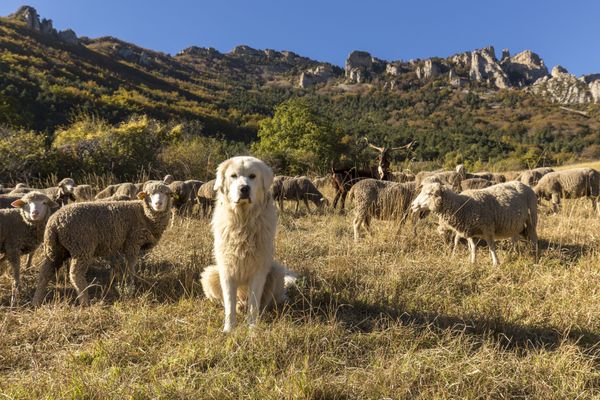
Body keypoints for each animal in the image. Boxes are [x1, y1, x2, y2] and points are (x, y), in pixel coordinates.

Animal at [32, 182, 173, 306]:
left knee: (45, 272)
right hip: (81, 246)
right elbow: (131, 266)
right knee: (75, 274)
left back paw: (37, 300)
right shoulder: (132, 242)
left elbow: (118, 265)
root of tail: (54, 222)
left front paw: (119, 280)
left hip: (55, 249)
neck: (143, 214)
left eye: (166, 193)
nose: (158, 204)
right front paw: (130, 285)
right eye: (149, 194)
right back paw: (85, 301)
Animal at [202, 155, 296, 332]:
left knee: (266, 302)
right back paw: (239, 306)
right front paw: (229, 329)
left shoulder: (258, 271)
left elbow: (254, 304)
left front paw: (252, 328)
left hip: (276, 272)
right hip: (210, 274)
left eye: (252, 176)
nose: (244, 188)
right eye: (233, 176)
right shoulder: (226, 271)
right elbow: (229, 304)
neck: (243, 221)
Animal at [412, 181, 540, 266]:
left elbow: (491, 247)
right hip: (514, 223)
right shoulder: (470, 232)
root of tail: (523, 184)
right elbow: (473, 248)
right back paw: (514, 253)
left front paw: (496, 263)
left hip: (532, 217)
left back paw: (535, 255)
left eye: (430, 194)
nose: (413, 205)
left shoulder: (488, 229)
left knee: (534, 237)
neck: (463, 206)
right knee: (514, 238)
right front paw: (473, 262)